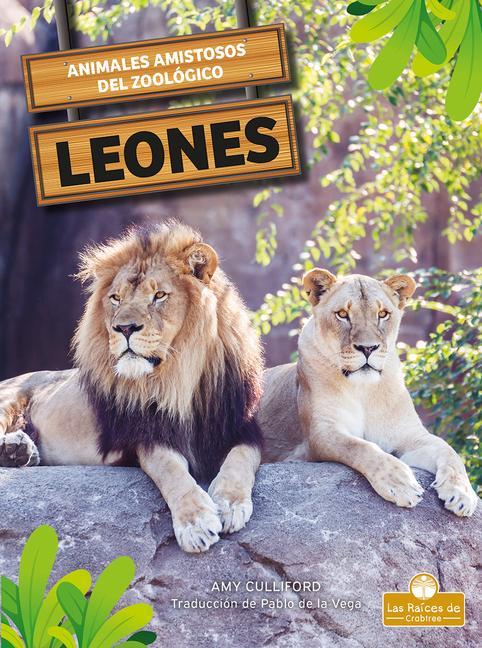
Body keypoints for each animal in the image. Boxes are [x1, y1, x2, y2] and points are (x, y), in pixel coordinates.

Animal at [0, 222, 264, 552]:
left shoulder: (244, 426)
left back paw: (19, 451)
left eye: (159, 295)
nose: (123, 328)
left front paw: (230, 503)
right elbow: (170, 469)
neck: (180, 377)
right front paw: (196, 523)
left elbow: (242, 458)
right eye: (115, 298)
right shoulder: (146, 435)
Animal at [258, 269, 479, 517]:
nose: (367, 348)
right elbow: (361, 447)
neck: (363, 388)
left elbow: (449, 451)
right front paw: (400, 483)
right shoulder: (321, 433)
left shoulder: (409, 435)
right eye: (342, 314)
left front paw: (462, 493)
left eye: (382, 314)